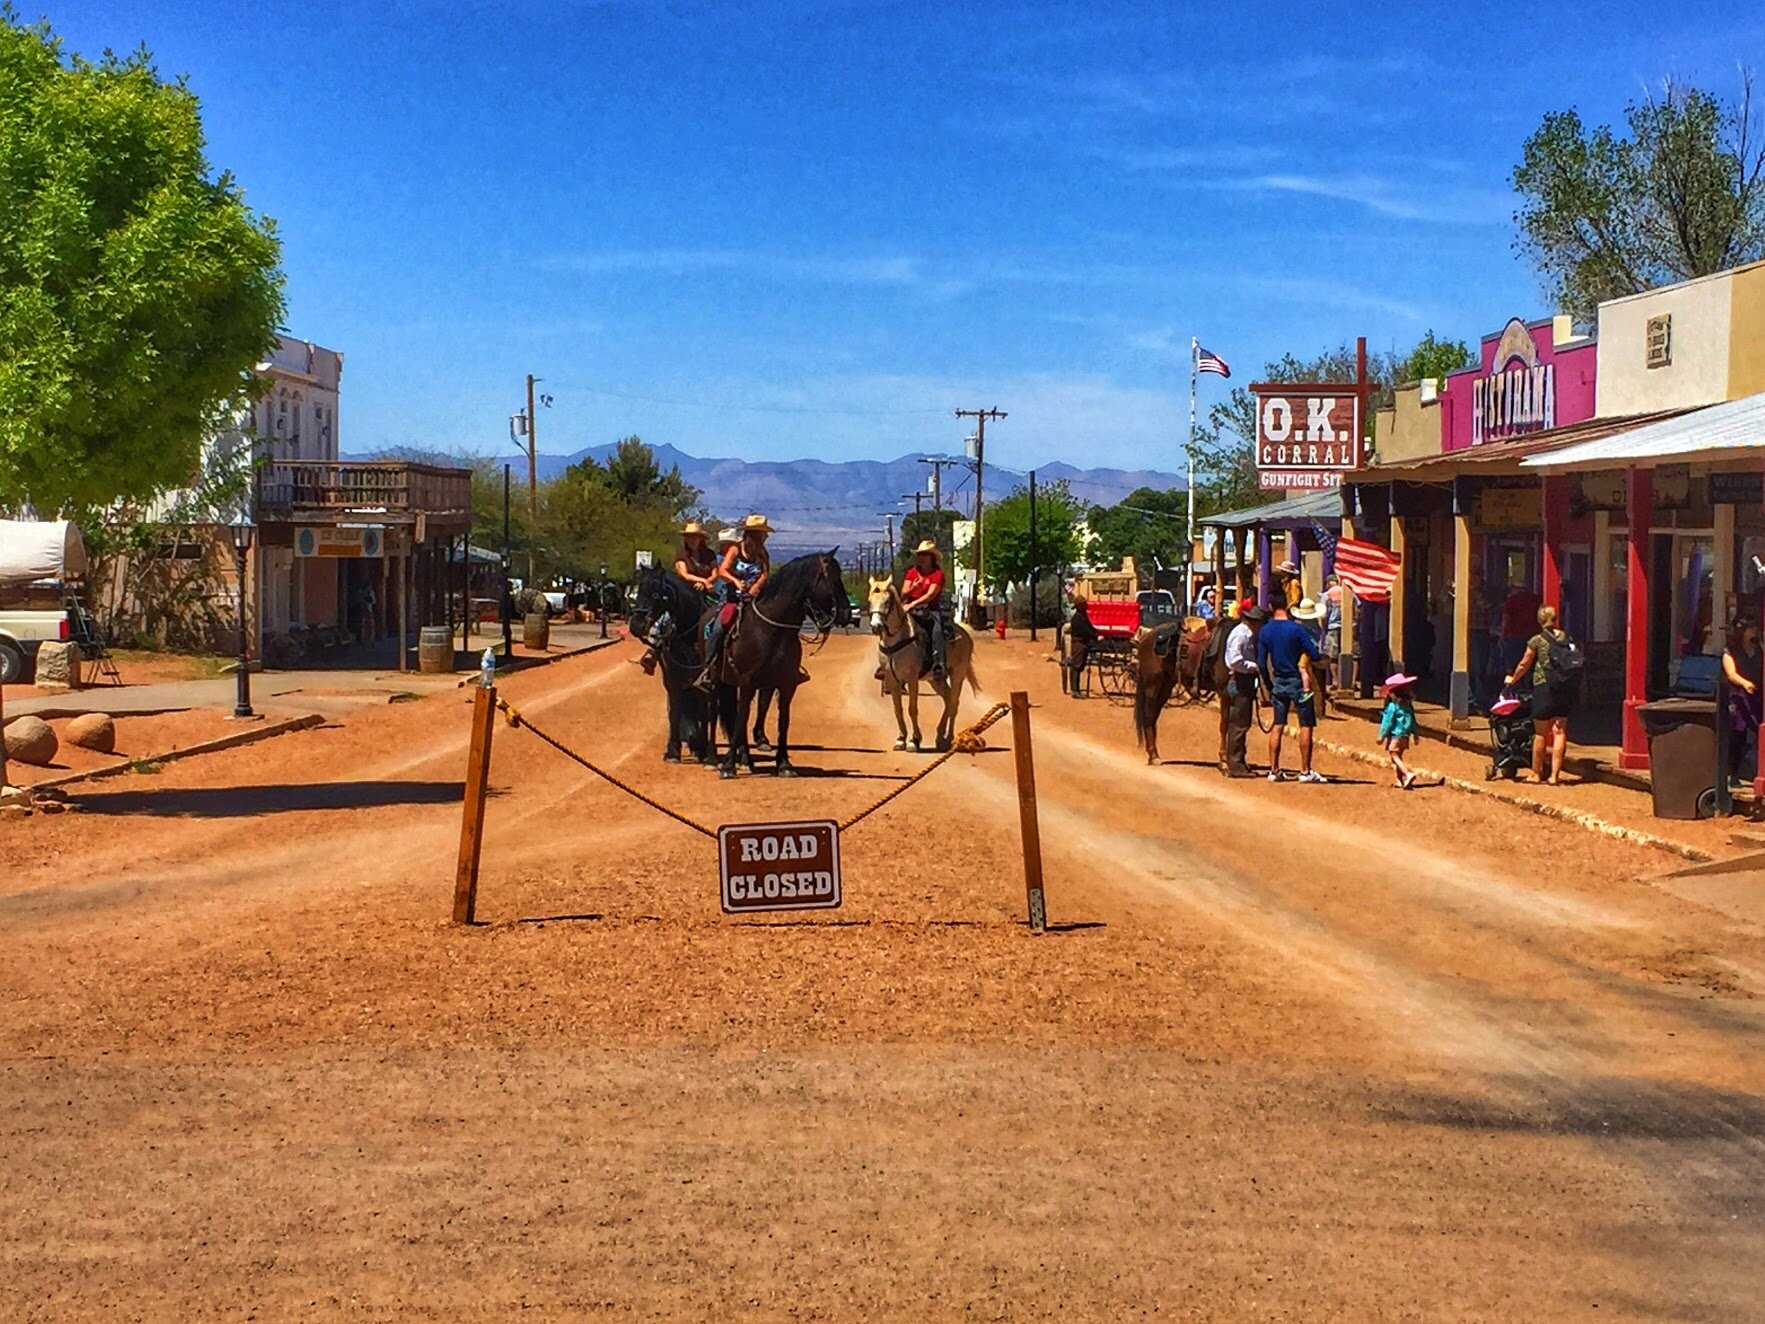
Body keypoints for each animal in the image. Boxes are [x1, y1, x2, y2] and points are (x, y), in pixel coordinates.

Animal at [698, 550, 850, 776]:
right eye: (830, 577)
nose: (846, 613)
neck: (772, 630)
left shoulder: (786, 685)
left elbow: (783, 722)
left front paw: (784, 764)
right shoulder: (747, 682)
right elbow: (740, 719)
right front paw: (728, 766)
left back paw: (746, 759)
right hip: (716, 681)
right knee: (714, 712)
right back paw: (711, 757)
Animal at [864, 579, 981, 755]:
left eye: (887, 601)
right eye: (870, 600)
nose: (875, 626)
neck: (898, 639)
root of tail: (965, 634)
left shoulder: (912, 678)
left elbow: (912, 709)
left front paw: (914, 741)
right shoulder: (892, 680)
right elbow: (897, 710)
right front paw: (901, 739)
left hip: (958, 674)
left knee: (954, 702)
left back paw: (949, 739)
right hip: (936, 679)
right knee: (948, 698)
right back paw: (940, 737)